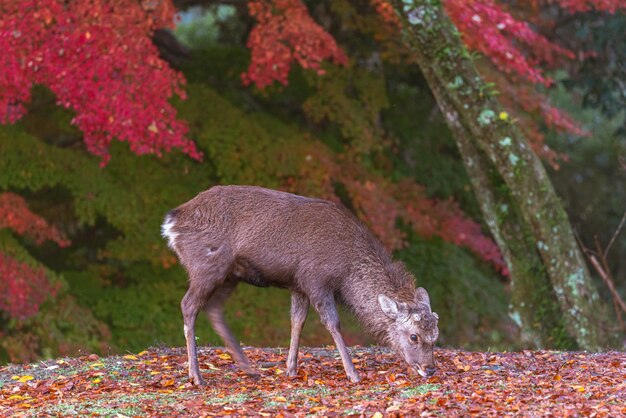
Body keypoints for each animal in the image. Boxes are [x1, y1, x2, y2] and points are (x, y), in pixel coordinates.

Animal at [163, 185, 442, 386]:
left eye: (435, 336)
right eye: (414, 336)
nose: (429, 368)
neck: (347, 271)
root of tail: (171, 223)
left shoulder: (298, 284)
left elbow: (297, 321)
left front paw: (290, 368)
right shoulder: (315, 279)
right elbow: (332, 323)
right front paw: (352, 373)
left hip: (231, 275)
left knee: (214, 309)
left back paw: (248, 368)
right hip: (207, 266)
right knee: (188, 305)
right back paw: (196, 376)